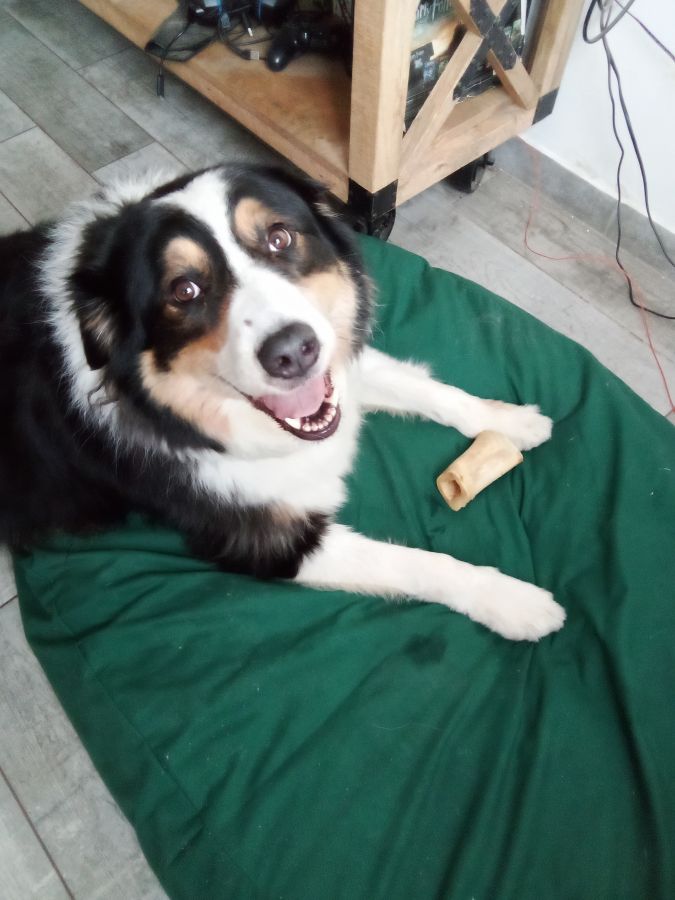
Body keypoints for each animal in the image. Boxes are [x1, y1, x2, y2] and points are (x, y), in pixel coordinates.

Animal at [0, 164, 564, 640]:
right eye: (184, 290)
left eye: (279, 237)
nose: (292, 352)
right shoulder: (265, 538)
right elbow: (412, 562)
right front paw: (512, 601)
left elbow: (426, 389)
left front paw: (510, 421)